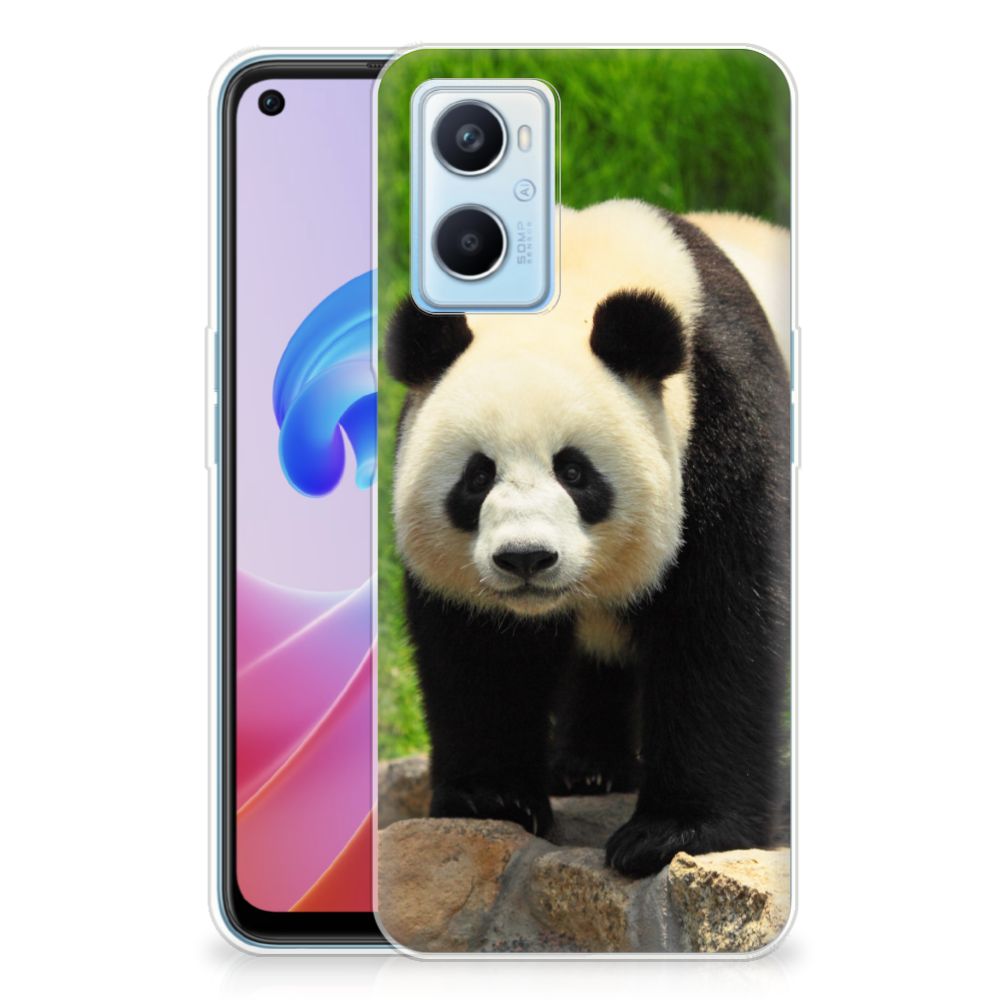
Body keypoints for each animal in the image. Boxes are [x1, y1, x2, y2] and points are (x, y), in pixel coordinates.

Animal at [384, 199, 790, 877]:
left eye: (574, 472)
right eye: (477, 476)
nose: (525, 558)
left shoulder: (725, 420)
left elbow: (720, 624)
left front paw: (673, 833)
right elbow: (479, 649)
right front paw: (491, 798)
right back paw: (588, 769)